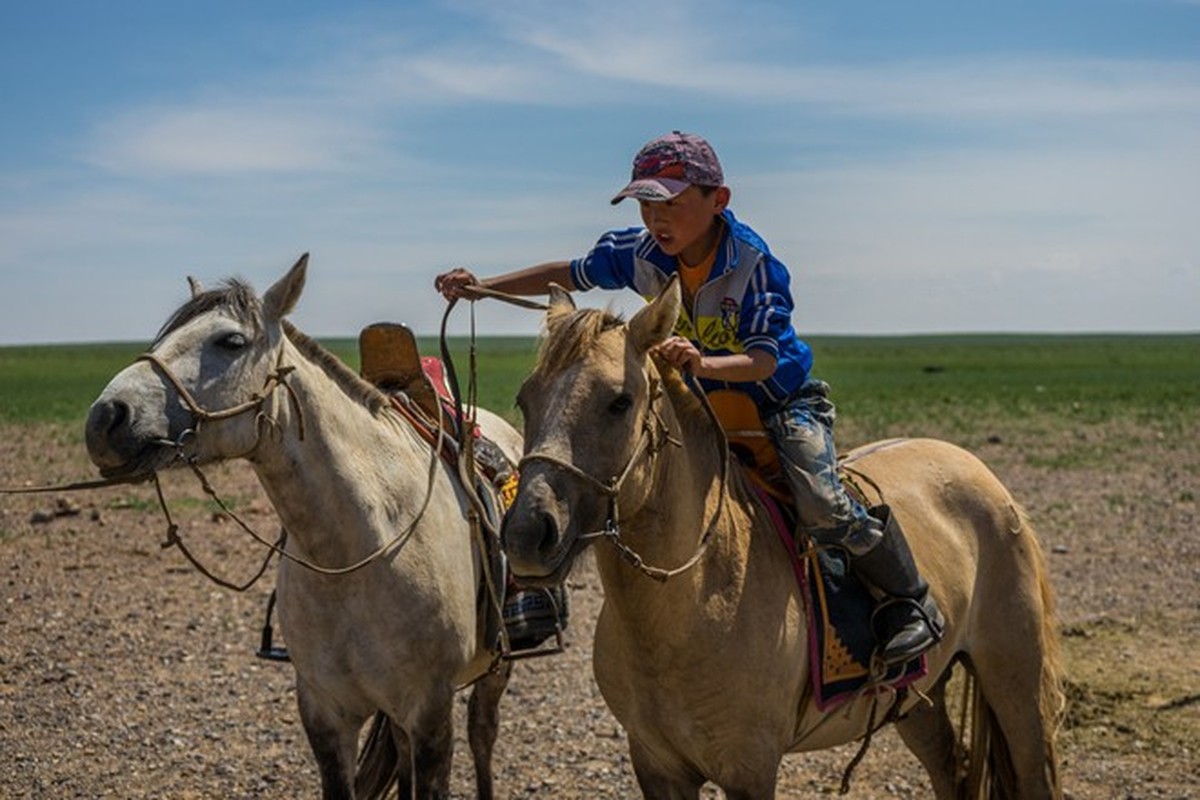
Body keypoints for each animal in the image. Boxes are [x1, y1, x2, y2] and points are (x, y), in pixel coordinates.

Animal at [83, 257, 516, 800]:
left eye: (231, 341)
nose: (105, 419)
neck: (356, 550)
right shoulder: (324, 712)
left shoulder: (431, 710)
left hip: (494, 669)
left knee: (484, 732)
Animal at [501, 278, 1065, 796]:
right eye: (524, 399)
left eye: (619, 402)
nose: (527, 533)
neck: (694, 600)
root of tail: (975, 468)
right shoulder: (656, 764)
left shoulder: (749, 767)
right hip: (918, 697)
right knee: (950, 765)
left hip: (1013, 680)